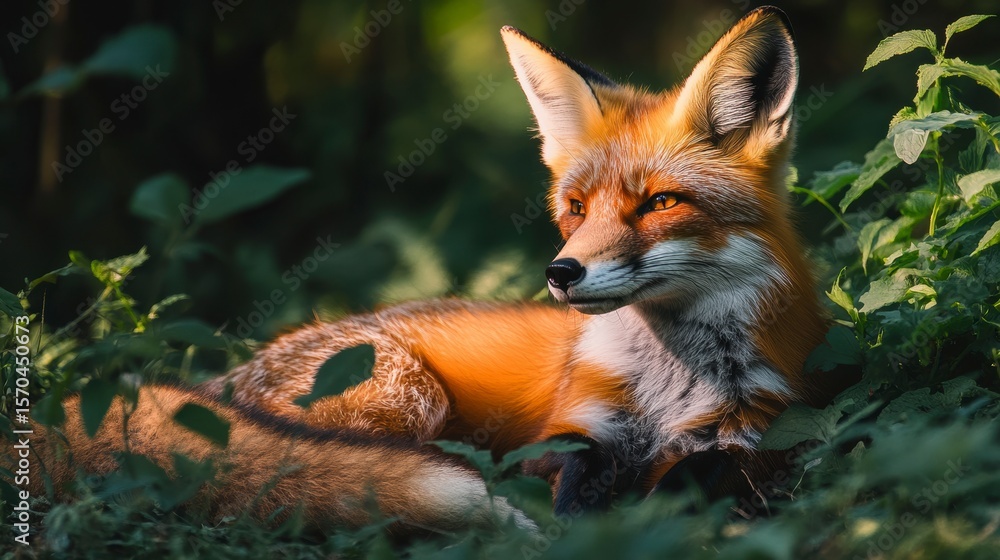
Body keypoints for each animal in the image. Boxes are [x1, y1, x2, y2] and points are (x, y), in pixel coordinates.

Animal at [9, 6, 832, 532]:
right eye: (575, 207)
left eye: (660, 202)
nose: (562, 272)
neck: (669, 385)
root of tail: (223, 384)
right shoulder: (572, 429)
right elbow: (568, 486)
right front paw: (579, 527)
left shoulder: (755, 430)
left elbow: (706, 477)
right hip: (408, 395)